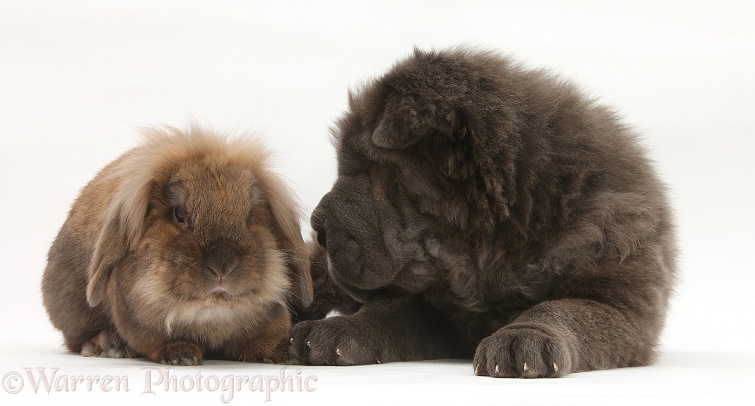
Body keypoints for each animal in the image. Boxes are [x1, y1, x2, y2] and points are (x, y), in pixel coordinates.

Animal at [40, 123, 314, 364]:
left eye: (249, 216)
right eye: (178, 215)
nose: (223, 266)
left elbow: (267, 341)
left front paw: (288, 353)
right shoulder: (141, 324)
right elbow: (154, 340)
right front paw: (182, 355)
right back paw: (110, 345)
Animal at [290, 47, 680, 378]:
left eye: (369, 166)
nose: (317, 224)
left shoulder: (622, 305)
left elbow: (561, 309)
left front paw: (523, 339)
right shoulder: (437, 310)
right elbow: (387, 312)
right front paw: (331, 330)